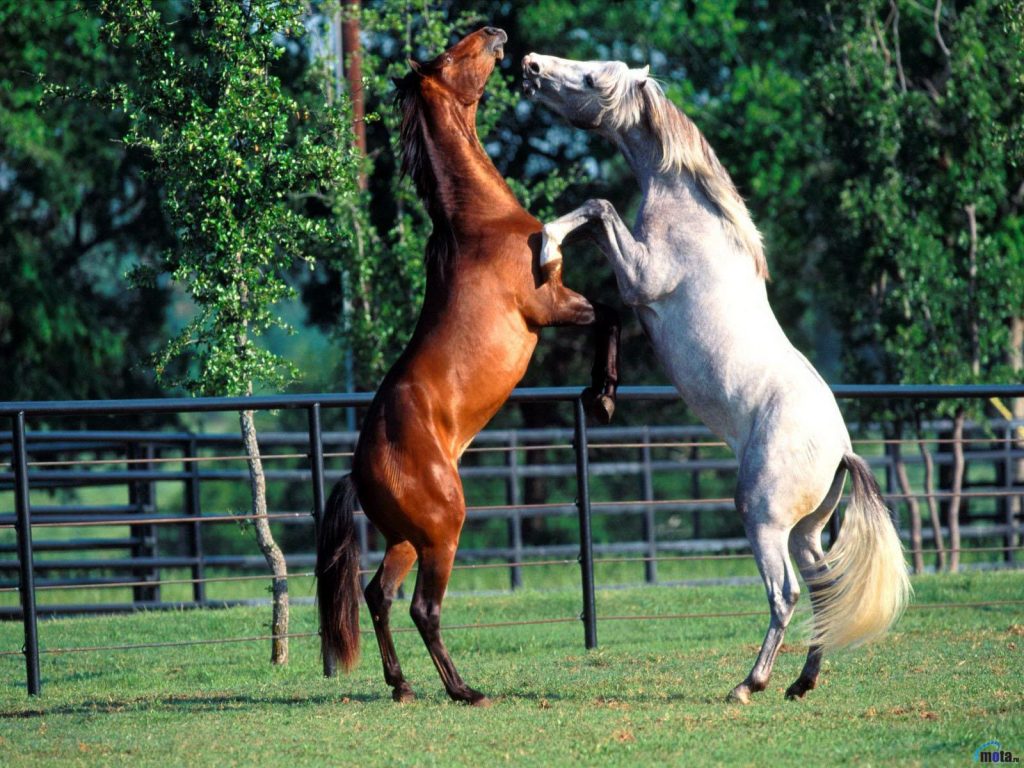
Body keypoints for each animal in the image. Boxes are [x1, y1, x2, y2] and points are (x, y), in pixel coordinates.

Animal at [313, 27, 614, 708]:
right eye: (454, 55)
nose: (496, 33)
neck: (481, 222)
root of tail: (360, 470)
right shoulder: (548, 304)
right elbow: (606, 296)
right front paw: (603, 392)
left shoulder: (562, 302)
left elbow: (612, 312)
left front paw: (602, 392)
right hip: (444, 531)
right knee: (421, 607)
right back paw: (463, 689)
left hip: (408, 538)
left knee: (377, 595)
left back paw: (402, 686)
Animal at [524, 52, 909, 704]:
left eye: (591, 79)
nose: (528, 65)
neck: (693, 216)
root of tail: (841, 449)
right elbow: (597, 214)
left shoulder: (641, 276)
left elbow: (599, 208)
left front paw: (547, 243)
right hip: (805, 531)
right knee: (823, 589)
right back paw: (801, 683)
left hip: (763, 517)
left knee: (786, 594)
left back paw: (749, 684)